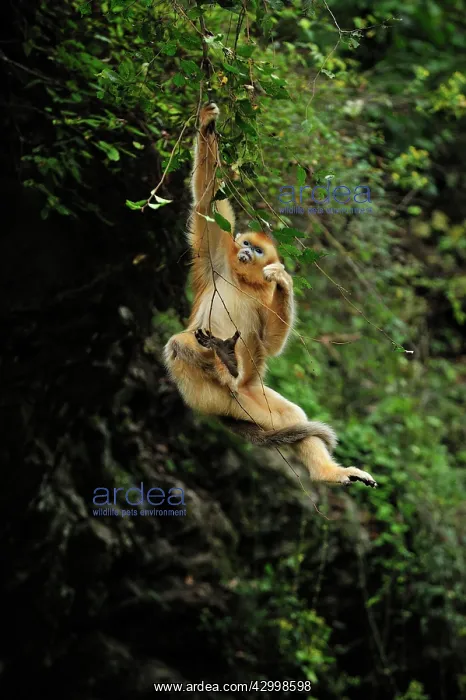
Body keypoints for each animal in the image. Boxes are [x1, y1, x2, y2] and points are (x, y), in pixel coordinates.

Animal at [164, 102, 377, 488]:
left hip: (251, 398)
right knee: (179, 343)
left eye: (258, 250)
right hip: (197, 388)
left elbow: (270, 343)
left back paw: (327, 472)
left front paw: (283, 284)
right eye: (246, 244)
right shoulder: (218, 258)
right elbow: (206, 200)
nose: (247, 252)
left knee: (293, 418)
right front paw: (208, 124)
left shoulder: (261, 296)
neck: (244, 280)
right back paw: (223, 362)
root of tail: (224, 403)